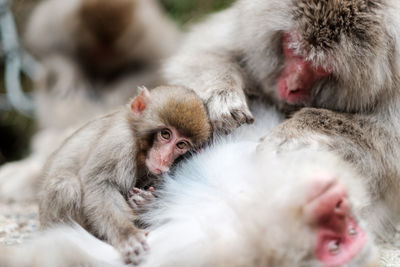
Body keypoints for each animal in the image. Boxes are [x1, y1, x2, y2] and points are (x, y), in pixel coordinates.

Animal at [38, 86, 212, 266]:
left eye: (181, 144)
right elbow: (99, 183)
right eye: (165, 134)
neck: (140, 150)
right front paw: (127, 235)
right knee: (66, 185)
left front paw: (147, 204)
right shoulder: (119, 142)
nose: (164, 159)